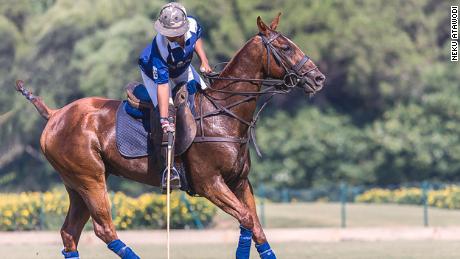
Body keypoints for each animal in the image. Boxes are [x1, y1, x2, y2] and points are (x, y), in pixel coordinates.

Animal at [16, 14, 326, 259]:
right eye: (285, 47)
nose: (318, 78)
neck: (223, 113)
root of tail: (55, 114)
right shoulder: (209, 183)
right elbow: (248, 220)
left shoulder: (239, 182)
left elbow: (256, 228)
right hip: (90, 178)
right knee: (104, 229)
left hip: (75, 184)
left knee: (69, 234)